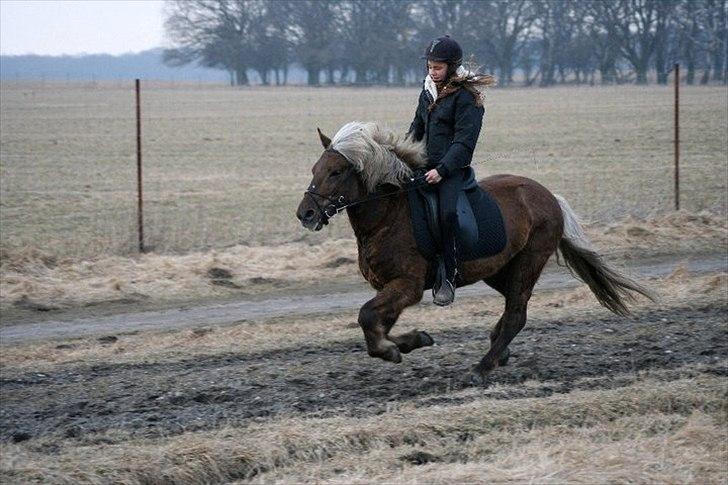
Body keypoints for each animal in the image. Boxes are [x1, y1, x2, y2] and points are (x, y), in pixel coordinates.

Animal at [296, 120, 656, 382]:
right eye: (314, 169)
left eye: (336, 172)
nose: (306, 214)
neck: (388, 215)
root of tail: (550, 197)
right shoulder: (391, 288)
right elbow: (377, 322)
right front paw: (413, 341)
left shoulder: (407, 285)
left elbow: (367, 316)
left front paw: (391, 350)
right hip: (498, 269)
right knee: (510, 312)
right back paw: (499, 351)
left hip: (528, 263)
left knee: (516, 314)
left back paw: (482, 367)